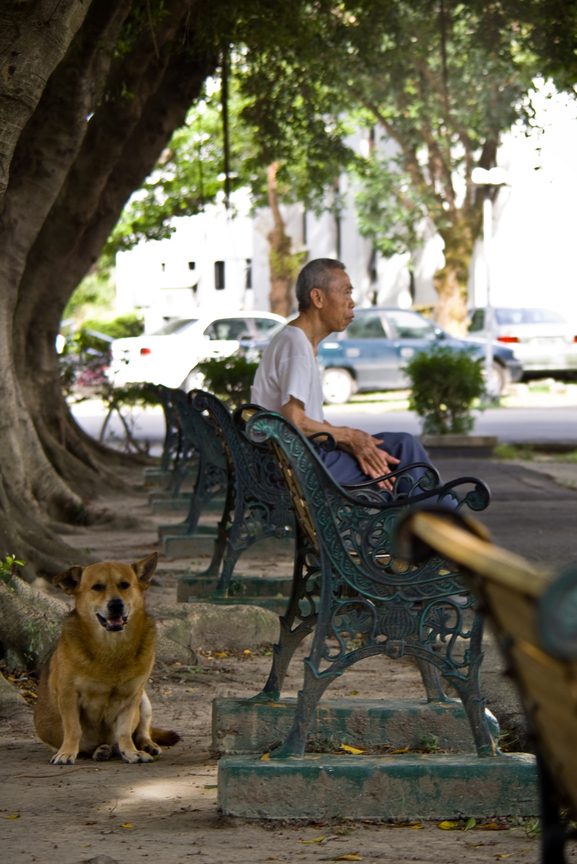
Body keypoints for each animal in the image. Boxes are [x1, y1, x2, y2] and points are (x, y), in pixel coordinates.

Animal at [34, 552, 178, 764]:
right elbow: (73, 729)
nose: (116, 605)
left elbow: (124, 732)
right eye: (97, 587)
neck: (112, 646)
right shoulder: (68, 695)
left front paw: (131, 752)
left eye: (125, 585)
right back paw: (101, 750)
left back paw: (145, 746)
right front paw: (67, 752)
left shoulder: (131, 696)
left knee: (142, 732)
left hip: (145, 701)